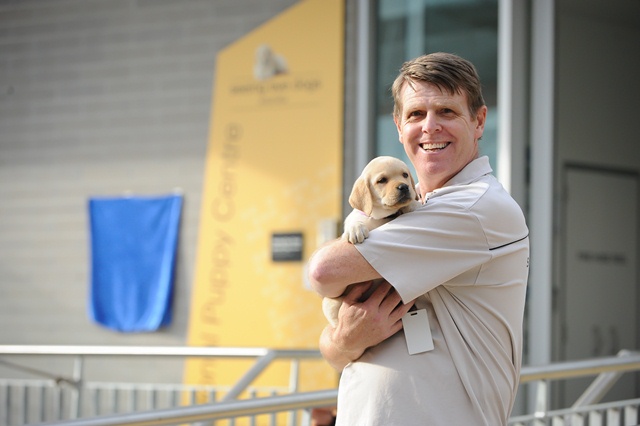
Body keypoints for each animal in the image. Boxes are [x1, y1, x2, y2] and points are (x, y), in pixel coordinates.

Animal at [320, 156, 420, 326]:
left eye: (405, 175)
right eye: (382, 180)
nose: (404, 187)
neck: (381, 217)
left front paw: (414, 203)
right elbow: (354, 220)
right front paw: (355, 229)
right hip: (330, 302)